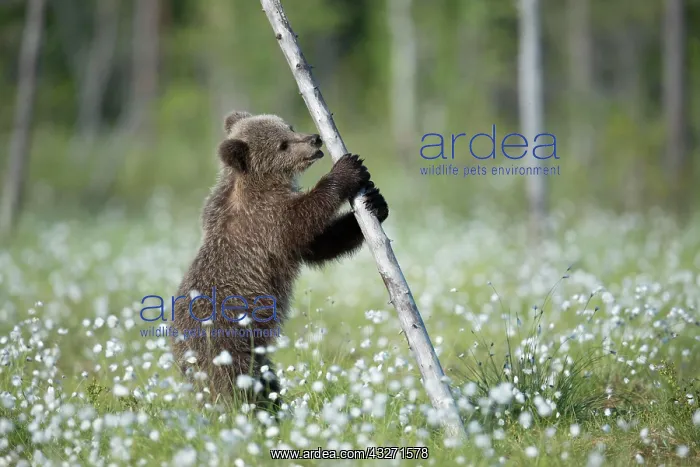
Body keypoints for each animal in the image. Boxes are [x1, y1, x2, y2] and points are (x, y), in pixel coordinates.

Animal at [170, 110, 389, 411]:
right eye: (282, 145)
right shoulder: (265, 221)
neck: (259, 183)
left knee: (265, 379)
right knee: (236, 385)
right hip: (226, 342)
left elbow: (317, 244)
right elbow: (303, 219)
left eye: (290, 127)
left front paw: (375, 204)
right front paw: (347, 170)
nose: (314, 139)